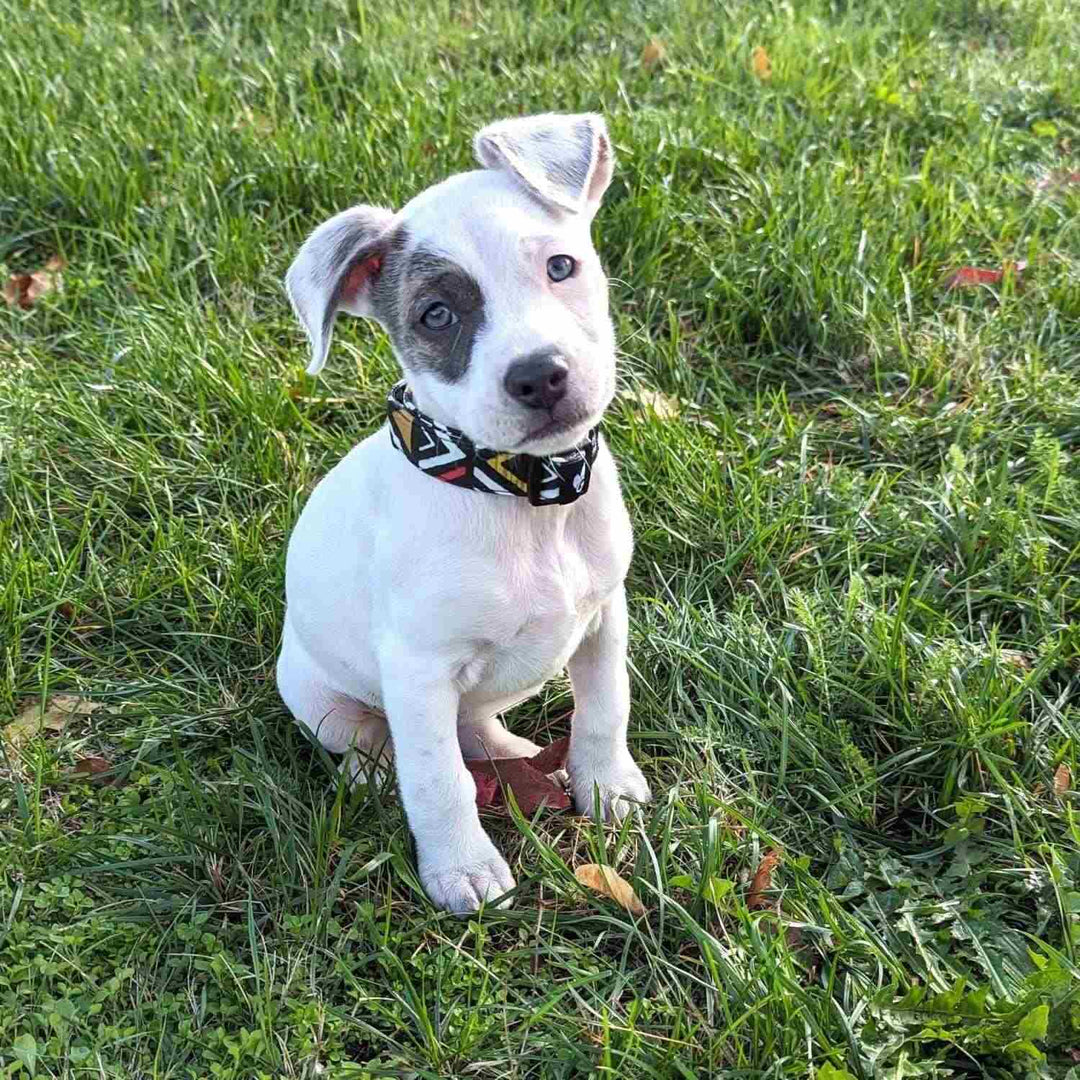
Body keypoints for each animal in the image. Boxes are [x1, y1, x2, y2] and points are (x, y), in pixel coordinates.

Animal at [278, 113, 648, 911]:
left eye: (561, 267)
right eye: (437, 315)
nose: (540, 376)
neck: (521, 495)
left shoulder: (607, 617)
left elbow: (605, 710)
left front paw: (608, 788)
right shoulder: (417, 672)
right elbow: (436, 779)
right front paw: (461, 867)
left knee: (475, 723)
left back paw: (513, 752)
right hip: (318, 691)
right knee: (374, 741)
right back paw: (373, 775)